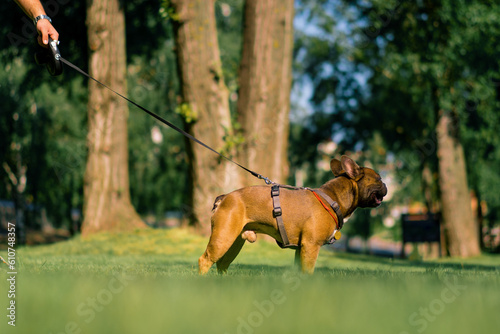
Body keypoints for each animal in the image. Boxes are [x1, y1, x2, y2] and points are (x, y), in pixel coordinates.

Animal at [198, 155, 386, 272]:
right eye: (379, 179)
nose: (385, 185)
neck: (332, 199)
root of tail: (225, 197)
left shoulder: (301, 249)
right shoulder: (311, 247)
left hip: (234, 242)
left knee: (222, 264)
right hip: (223, 237)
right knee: (205, 260)